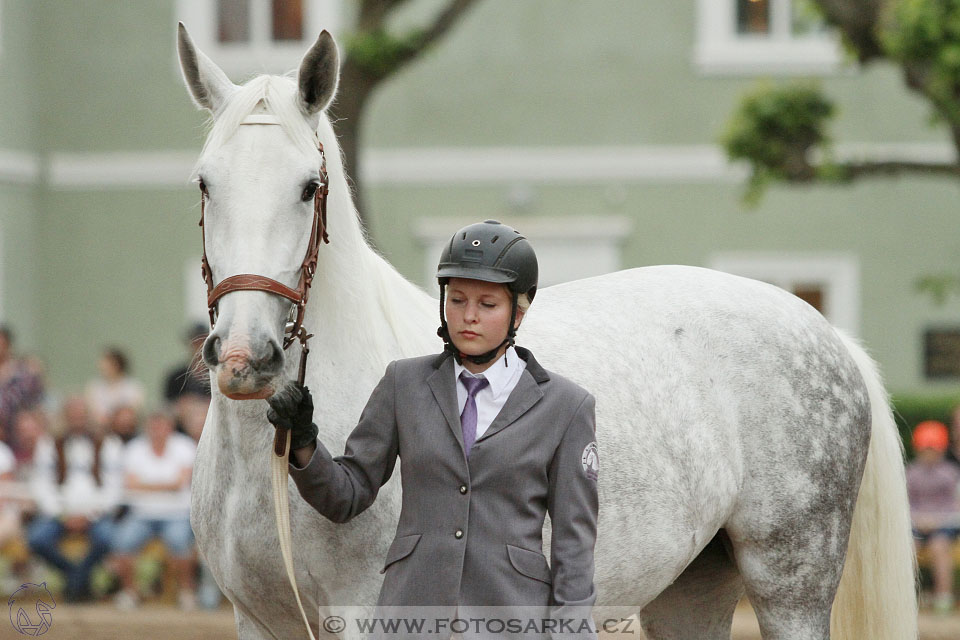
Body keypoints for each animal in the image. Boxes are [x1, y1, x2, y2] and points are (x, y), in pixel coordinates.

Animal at [176, 25, 920, 640]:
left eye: (308, 187)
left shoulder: (366, 614)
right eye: (205, 183)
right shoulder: (259, 620)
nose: (244, 357)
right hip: (693, 585)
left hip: (791, 580)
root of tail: (827, 335)